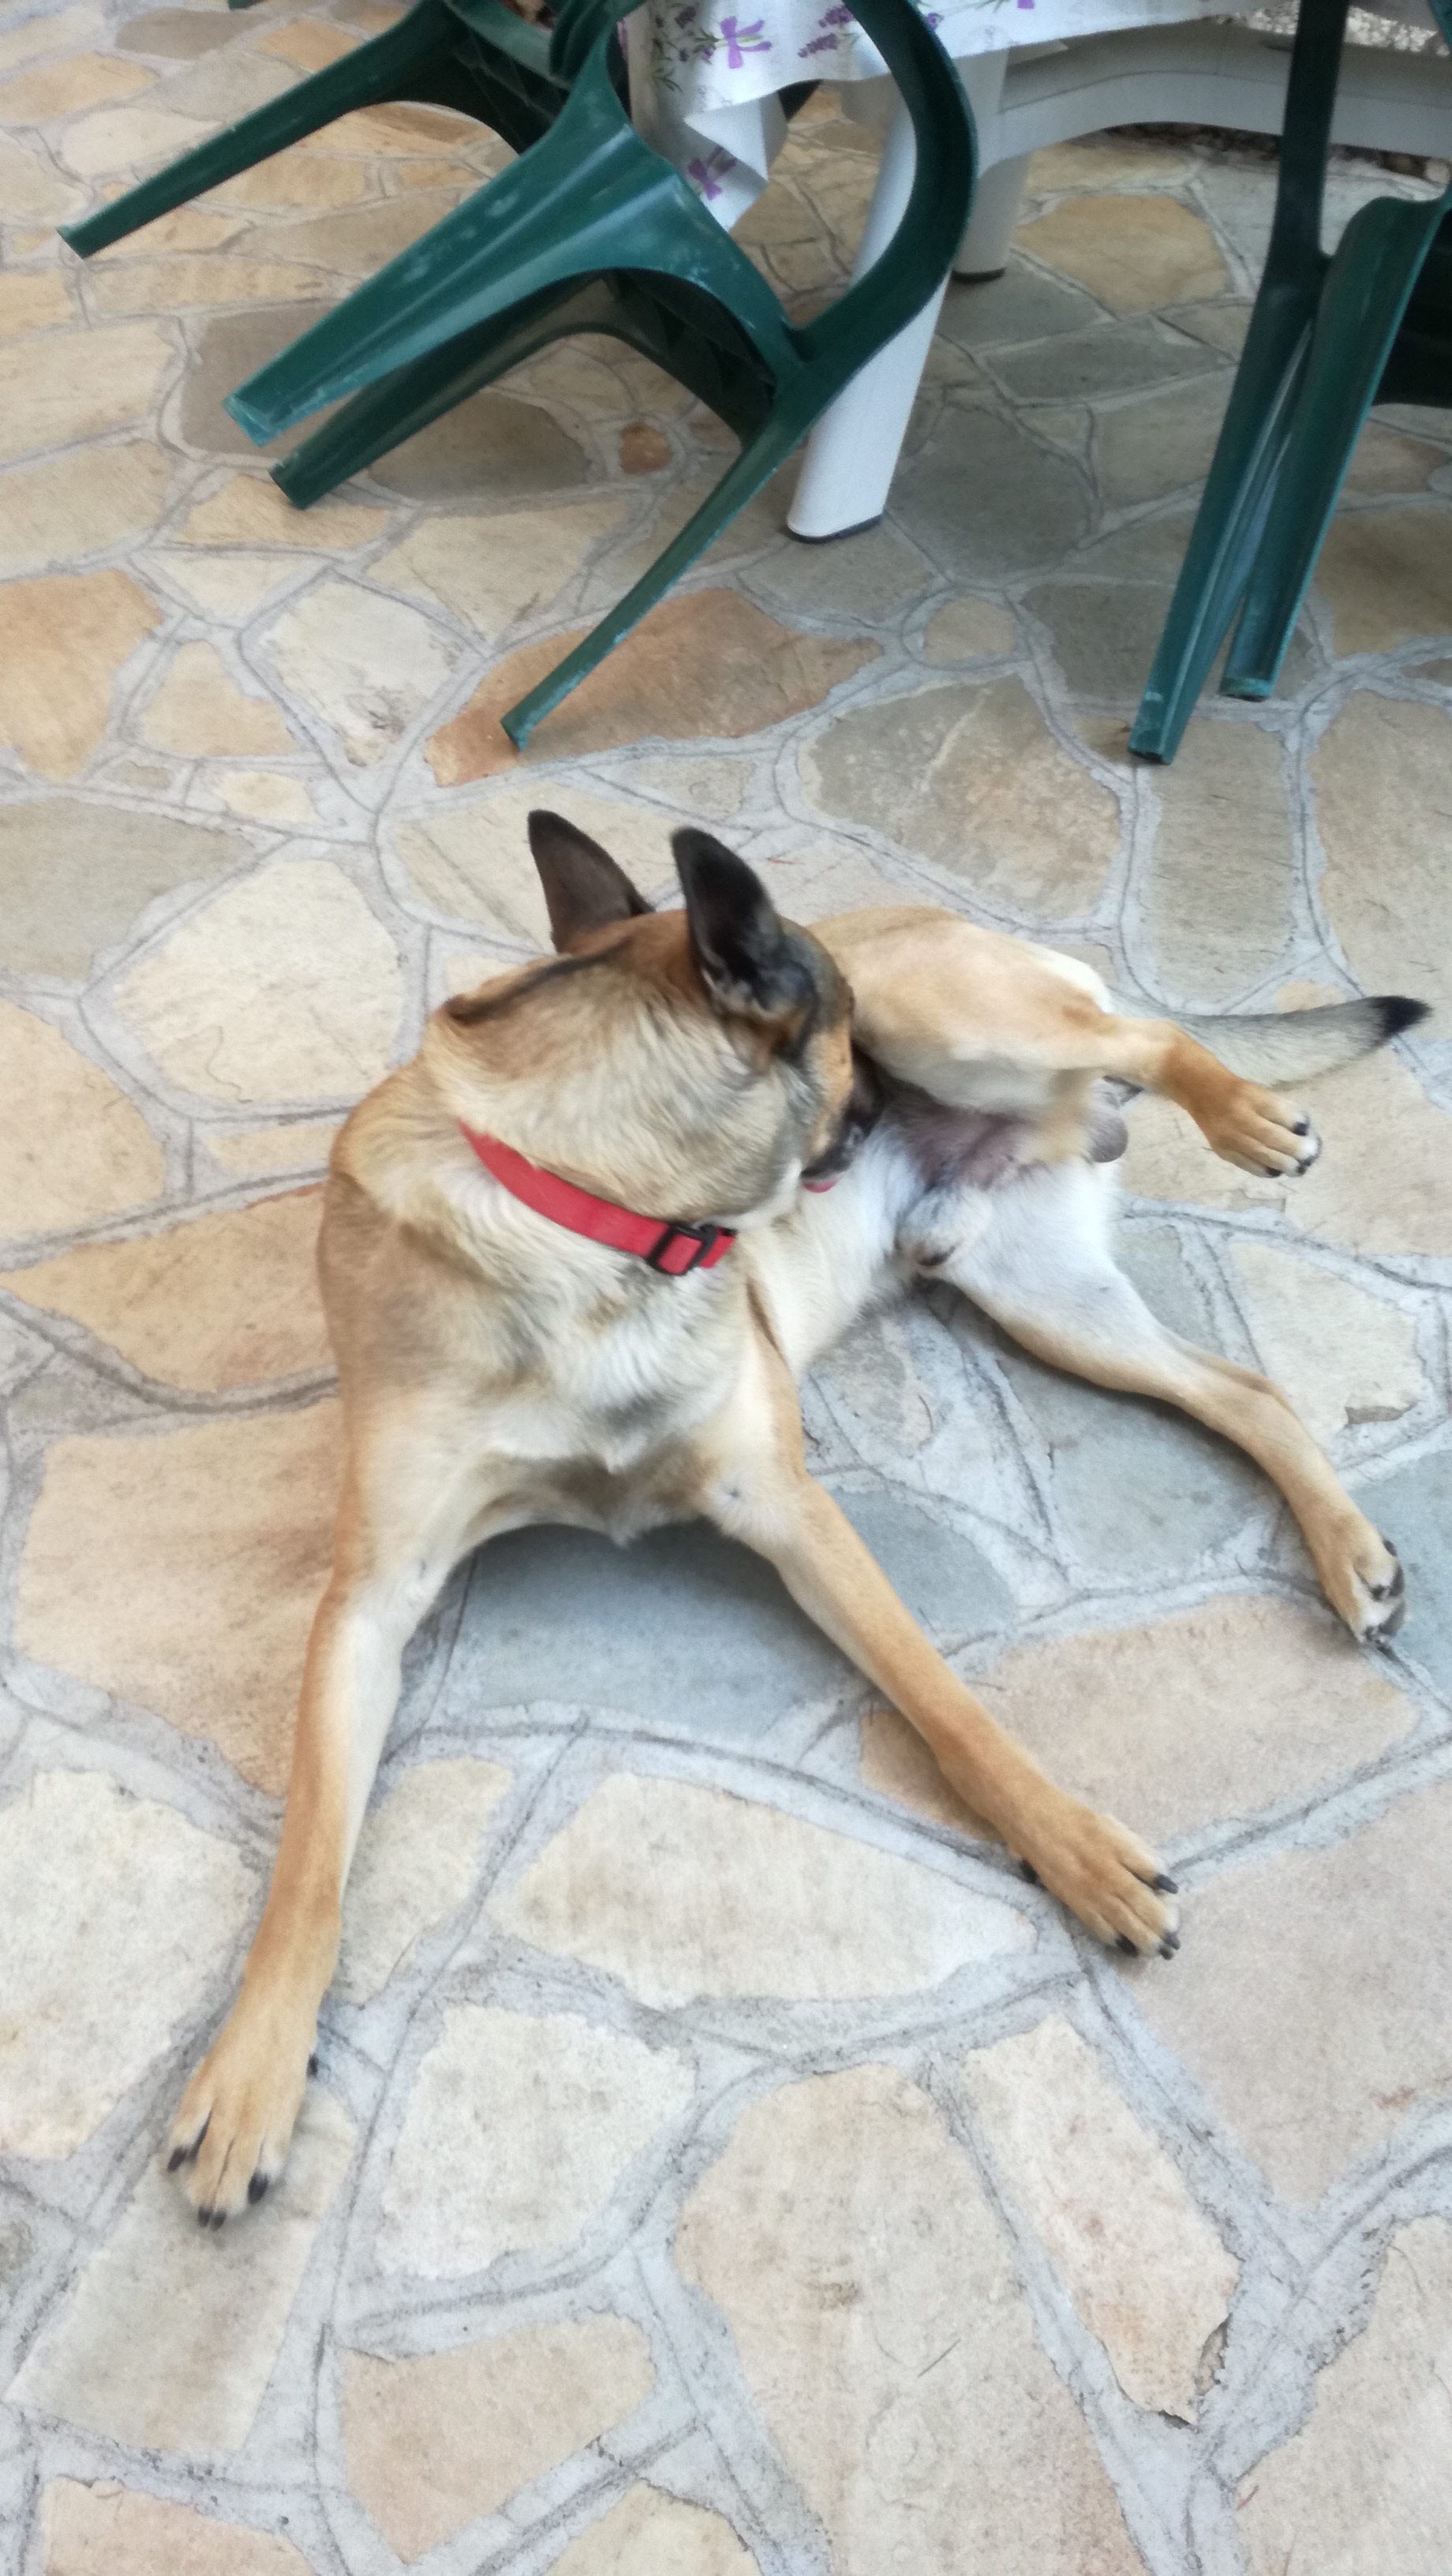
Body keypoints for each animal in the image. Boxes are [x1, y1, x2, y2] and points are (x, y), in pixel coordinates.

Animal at [167, 812, 1422, 2222]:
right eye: (835, 1052)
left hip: (967, 1030)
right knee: (1248, 1391)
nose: (873, 1098)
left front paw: (1075, 1851)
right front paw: (253, 2074)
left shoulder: (784, 1505)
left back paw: (1247, 1115)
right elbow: (308, 1870)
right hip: (1048, 1299)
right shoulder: (371, 1602)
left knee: (1146, 1038)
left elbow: (953, 1711)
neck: (579, 1205)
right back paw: (1351, 1552)